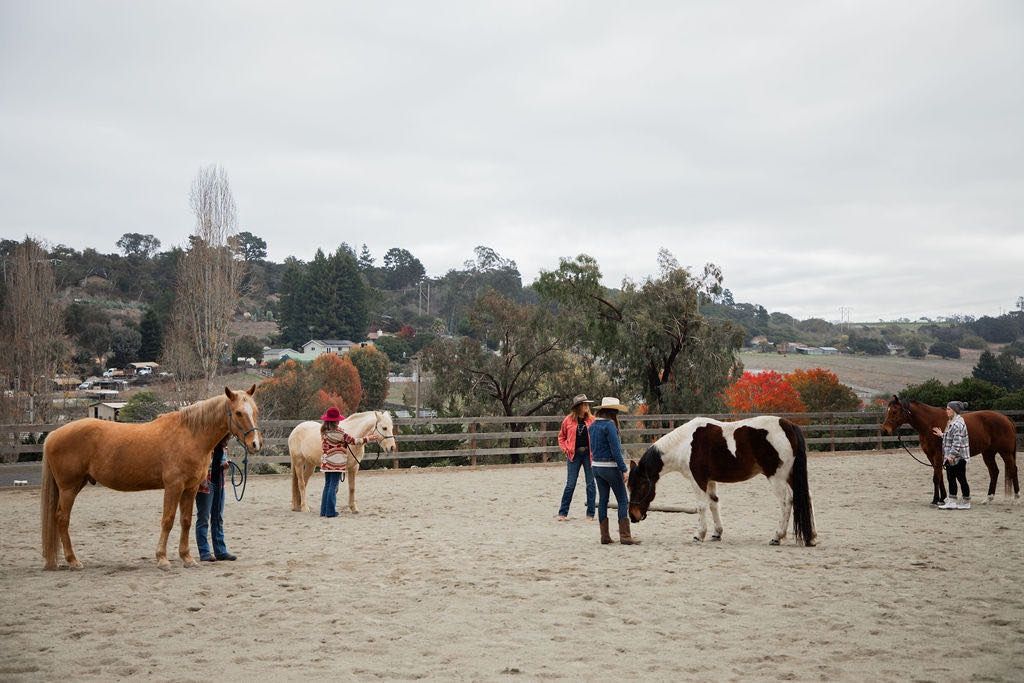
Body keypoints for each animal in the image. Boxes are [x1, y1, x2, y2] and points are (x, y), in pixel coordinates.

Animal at [41, 385, 262, 573]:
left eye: (255, 411)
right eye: (238, 413)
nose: (256, 444)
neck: (190, 435)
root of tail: (53, 434)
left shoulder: (190, 488)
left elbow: (186, 521)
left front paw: (187, 558)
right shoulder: (173, 487)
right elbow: (168, 520)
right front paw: (162, 559)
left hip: (77, 484)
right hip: (68, 488)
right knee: (62, 519)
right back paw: (73, 561)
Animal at [622, 417, 815, 544]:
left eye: (641, 485)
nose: (633, 516)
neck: (684, 444)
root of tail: (788, 426)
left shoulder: (698, 480)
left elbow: (702, 506)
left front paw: (699, 534)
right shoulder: (710, 481)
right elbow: (714, 503)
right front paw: (717, 533)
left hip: (777, 478)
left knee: (786, 501)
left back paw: (777, 536)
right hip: (791, 476)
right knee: (806, 497)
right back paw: (812, 536)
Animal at [880, 397, 1015, 505]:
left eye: (894, 411)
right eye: (888, 410)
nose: (885, 430)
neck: (929, 423)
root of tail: (1006, 418)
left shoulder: (938, 455)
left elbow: (936, 477)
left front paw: (935, 499)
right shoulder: (931, 456)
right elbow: (939, 476)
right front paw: (942, 498)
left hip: (1005, 452)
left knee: (1013, 469)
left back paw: (1016, 498)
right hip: (988, 453)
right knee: (994, 472)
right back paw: (988, 499)